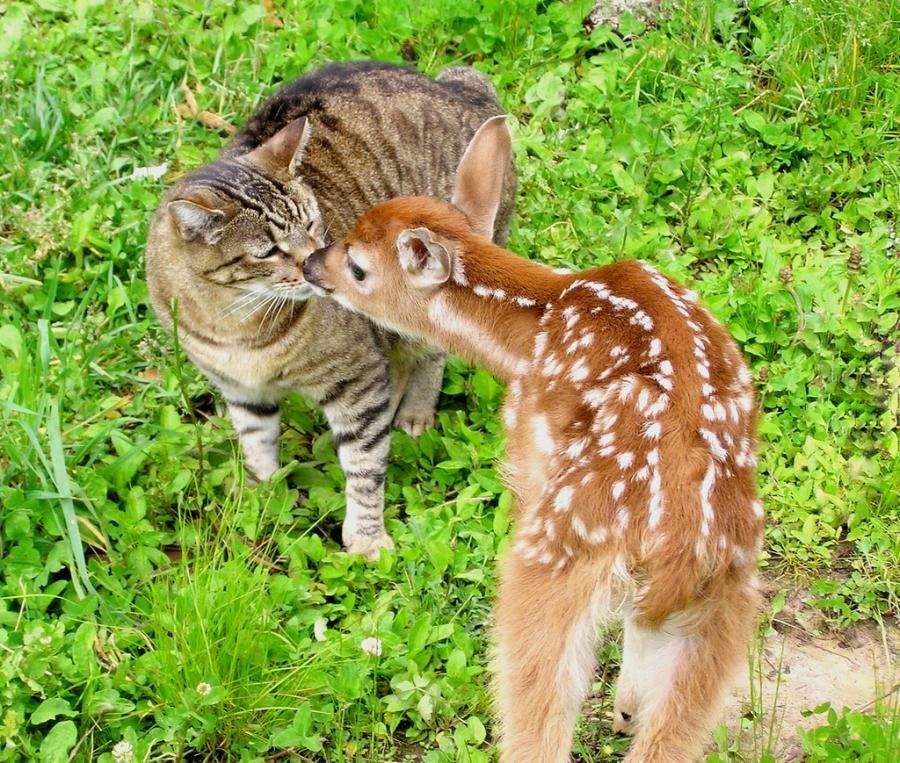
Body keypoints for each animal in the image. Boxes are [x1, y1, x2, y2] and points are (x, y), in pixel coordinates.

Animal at [145, 62, 516, 560]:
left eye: (311, 222)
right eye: (268, 251)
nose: (315, 262)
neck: (236, 322)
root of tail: (466, 92)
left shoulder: (355, 379)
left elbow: (364, 463)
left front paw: (367, 537)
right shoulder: (241, 390)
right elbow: (257, 444)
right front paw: (264, 499)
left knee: (430, 350)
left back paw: (415, 411)